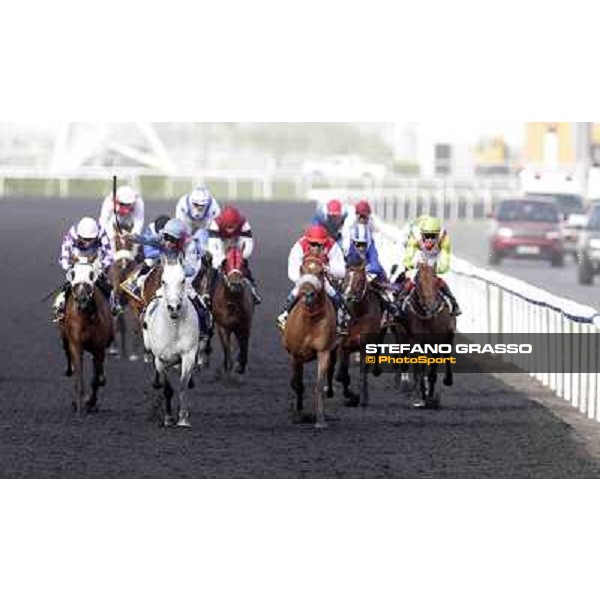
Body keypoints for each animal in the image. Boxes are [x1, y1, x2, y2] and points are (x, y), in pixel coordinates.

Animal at [59, 258, 115, 418]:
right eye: (73, 274)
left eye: (91, 274)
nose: (82, 299)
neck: (87, 317)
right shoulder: (76, 345)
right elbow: (79, 375)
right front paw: (80, 406)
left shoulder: (99, 348)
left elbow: (97, 379)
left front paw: (91, 402)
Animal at [143, 256, 199, 426]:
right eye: (163, 281)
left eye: (183, 280)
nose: (174, 307)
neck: (173, 328)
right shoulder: (161, 359)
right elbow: (167, 389)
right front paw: (168, 418)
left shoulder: (188, 355)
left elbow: (183, 385)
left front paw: (183, 418)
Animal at [282, 255, 338, 428]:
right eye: (301, 269)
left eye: (321, 272)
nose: (307, 293)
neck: (309, 321)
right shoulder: (295, 355)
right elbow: (297, 384)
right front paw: (298, 414)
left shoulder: (324, 351)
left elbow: (319, 386)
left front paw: (320, 420)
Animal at [338, 258, 384, 408]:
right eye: (346, 278)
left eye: (360, 280)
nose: (347, 296)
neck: (359, 314)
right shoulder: (344, 345)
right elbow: (341, 374)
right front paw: (351, 395)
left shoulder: (365, 346)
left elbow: (363, 371)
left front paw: (362, 398)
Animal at [396, 262, 458, 408]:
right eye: (417, 281)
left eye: (435, 280)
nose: (430, 305)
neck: (427, 316)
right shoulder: (417, 341)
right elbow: (419, 368)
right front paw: (424, 393)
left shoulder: (437, 341)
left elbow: (432, 373)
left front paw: (429, 397)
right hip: (403, 335)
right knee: (406, 359)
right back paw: (406, 384)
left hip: (448, 335)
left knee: (446, 355)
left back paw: (447, 380)